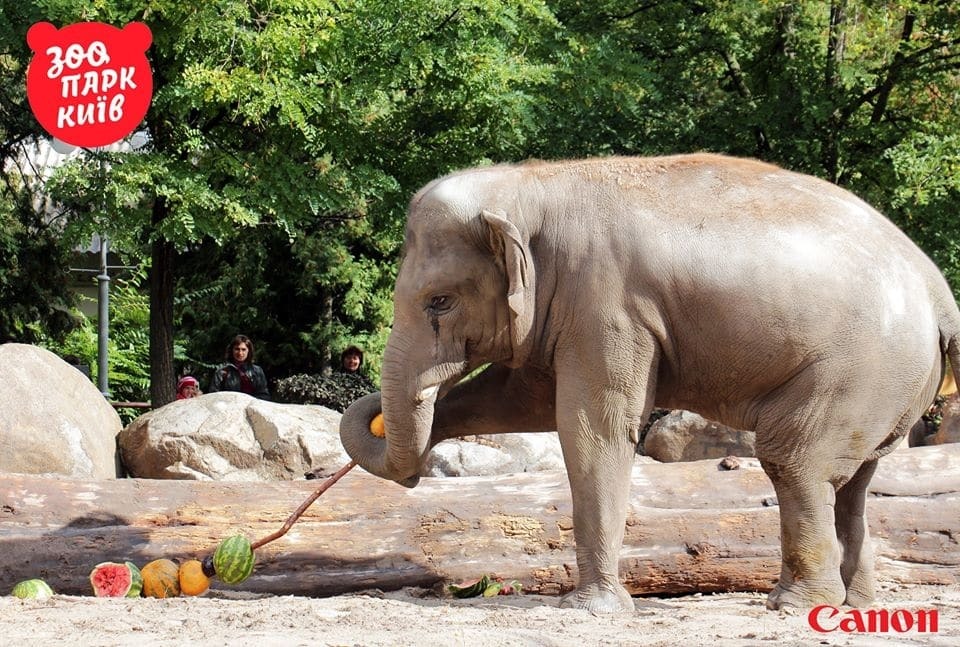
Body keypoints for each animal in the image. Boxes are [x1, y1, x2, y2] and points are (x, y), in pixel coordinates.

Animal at [340, 154, 960, 616]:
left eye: (439, 302)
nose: (412, 474)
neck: (531, 184)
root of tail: (939, 293)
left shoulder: (605, 302)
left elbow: (591, 429)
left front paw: (592, 611)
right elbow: (521, 398)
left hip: (858, 370)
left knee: (795, 462)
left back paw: (795, 605)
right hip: (889, 384)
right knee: (853, 481)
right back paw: (855, 605)